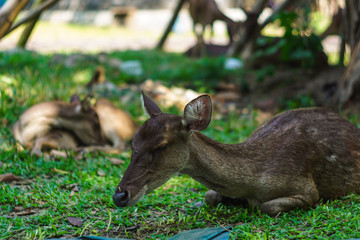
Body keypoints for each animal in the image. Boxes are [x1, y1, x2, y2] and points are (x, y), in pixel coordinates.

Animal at [113, 92, 360, 216]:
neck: (254, 183)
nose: (119, 196)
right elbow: (209, 195)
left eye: (160, 146)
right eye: (132, 144)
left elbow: (267, 206)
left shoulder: (307, 188)